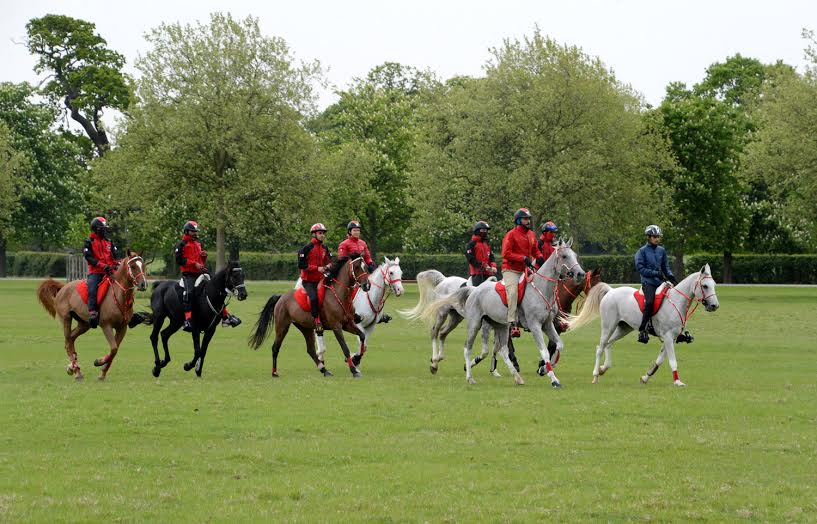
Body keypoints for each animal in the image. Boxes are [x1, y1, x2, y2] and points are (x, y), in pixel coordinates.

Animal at [37, 251, 149, 380]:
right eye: (133, 266)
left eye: (143, 265)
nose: (143, 284)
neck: (119, 295)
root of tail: (63, 288)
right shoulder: (106, 326)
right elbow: (113, 348)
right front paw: (98, 362)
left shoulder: (122, 328)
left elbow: (114, 351)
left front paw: (102, 373)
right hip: (66, 319)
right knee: (68, 342)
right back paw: (77, 372)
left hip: (84, 324)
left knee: (71, 339)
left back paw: (73, 367)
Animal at [420, 241, 580, 384]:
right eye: (564, 256)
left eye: (575, 255)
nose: (580, 274)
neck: (541, 290)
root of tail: (474, 290)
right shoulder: (535, 325)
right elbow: (544, 351)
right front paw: (554, 379)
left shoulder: (547, 324)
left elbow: (559, 345)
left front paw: (544, 368)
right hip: (466, 321)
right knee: (459, 343)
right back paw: (466, 376)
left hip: (491, 323)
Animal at [564, 264, 716, 386]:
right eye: (705, 286)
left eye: (713, 284)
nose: (714, 306)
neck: (676, 302)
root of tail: (611, 291)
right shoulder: (667, 337)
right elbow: (672, 361)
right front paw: (678, 382)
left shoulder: (671, 338)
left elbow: (660, 360)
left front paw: (645, 377)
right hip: (608, 327)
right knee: (600, 347)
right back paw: (596, 375)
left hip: (624, 328)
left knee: (608, 344)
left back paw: (603, 368)